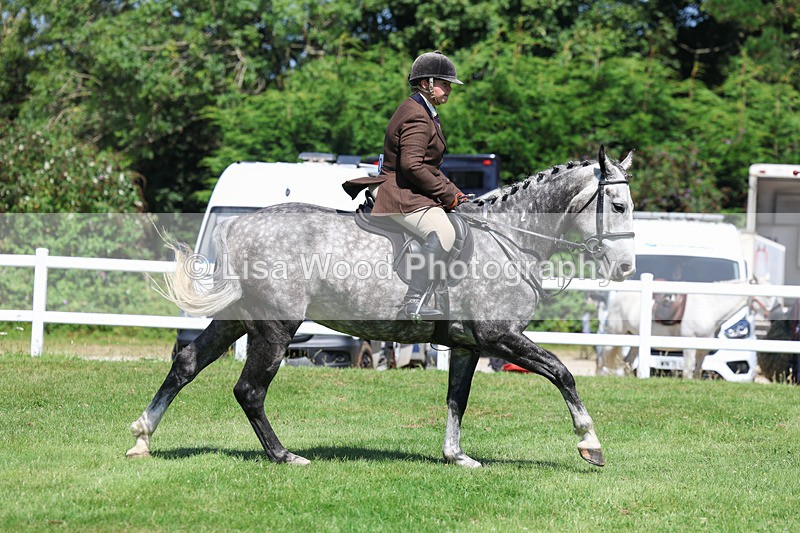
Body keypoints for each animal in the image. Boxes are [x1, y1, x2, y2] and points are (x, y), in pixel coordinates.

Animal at [126, 146, 636, 468]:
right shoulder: (499, 336)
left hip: (238, 319)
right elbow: (562, 373)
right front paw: (590, 443)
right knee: (249, 390)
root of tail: (240, 227)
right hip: (276, 327)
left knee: (187, 363)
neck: (510, 237)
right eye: (616, 204)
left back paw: (143, 437)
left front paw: (456, 457)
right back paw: (284, 455)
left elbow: (457, 398)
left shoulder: (468, 345)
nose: (627, 267)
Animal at [598, 279, 772, 379]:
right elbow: (688, 370)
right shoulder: (689, 344)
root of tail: (618, 296)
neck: (709, 306)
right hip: (615, 333)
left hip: (634, 338)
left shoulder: (703, 348)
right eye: (766, 295)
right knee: (606, 358)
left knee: (627, 361)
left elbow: (697, 371)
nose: (770, 313)